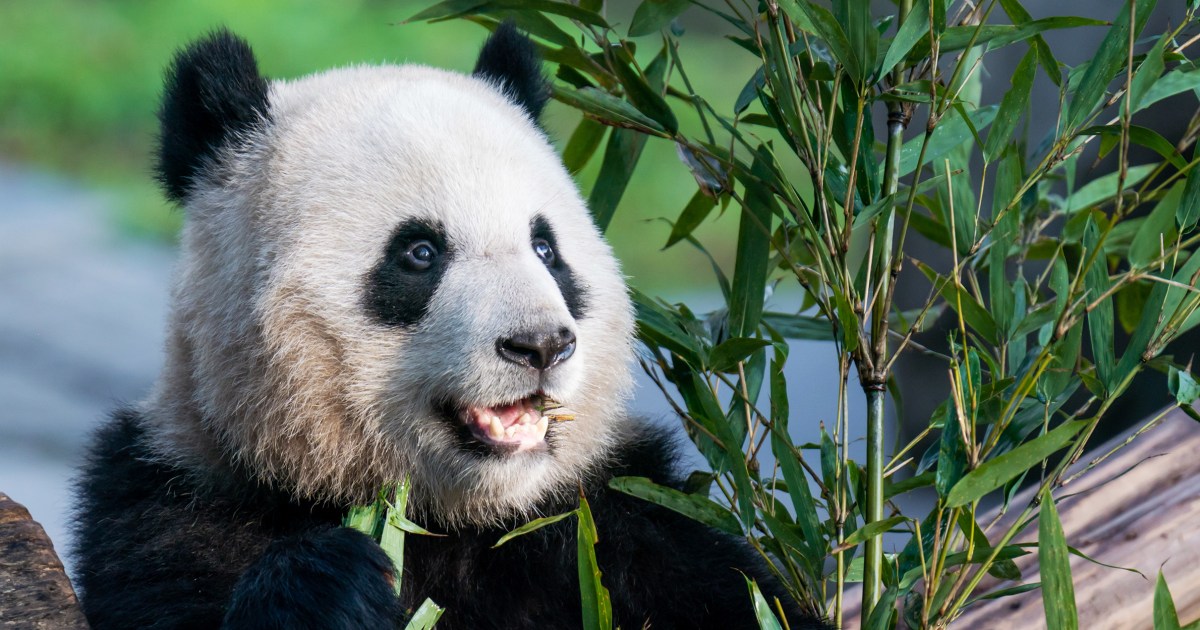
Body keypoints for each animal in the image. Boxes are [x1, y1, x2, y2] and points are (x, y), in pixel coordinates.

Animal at [71, 24, 831, 630]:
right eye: (419, 252)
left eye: (545, 249)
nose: (541, 344)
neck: (458, 518)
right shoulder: (174, 507)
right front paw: (331, 581)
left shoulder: (621, 521)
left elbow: (739, 592)